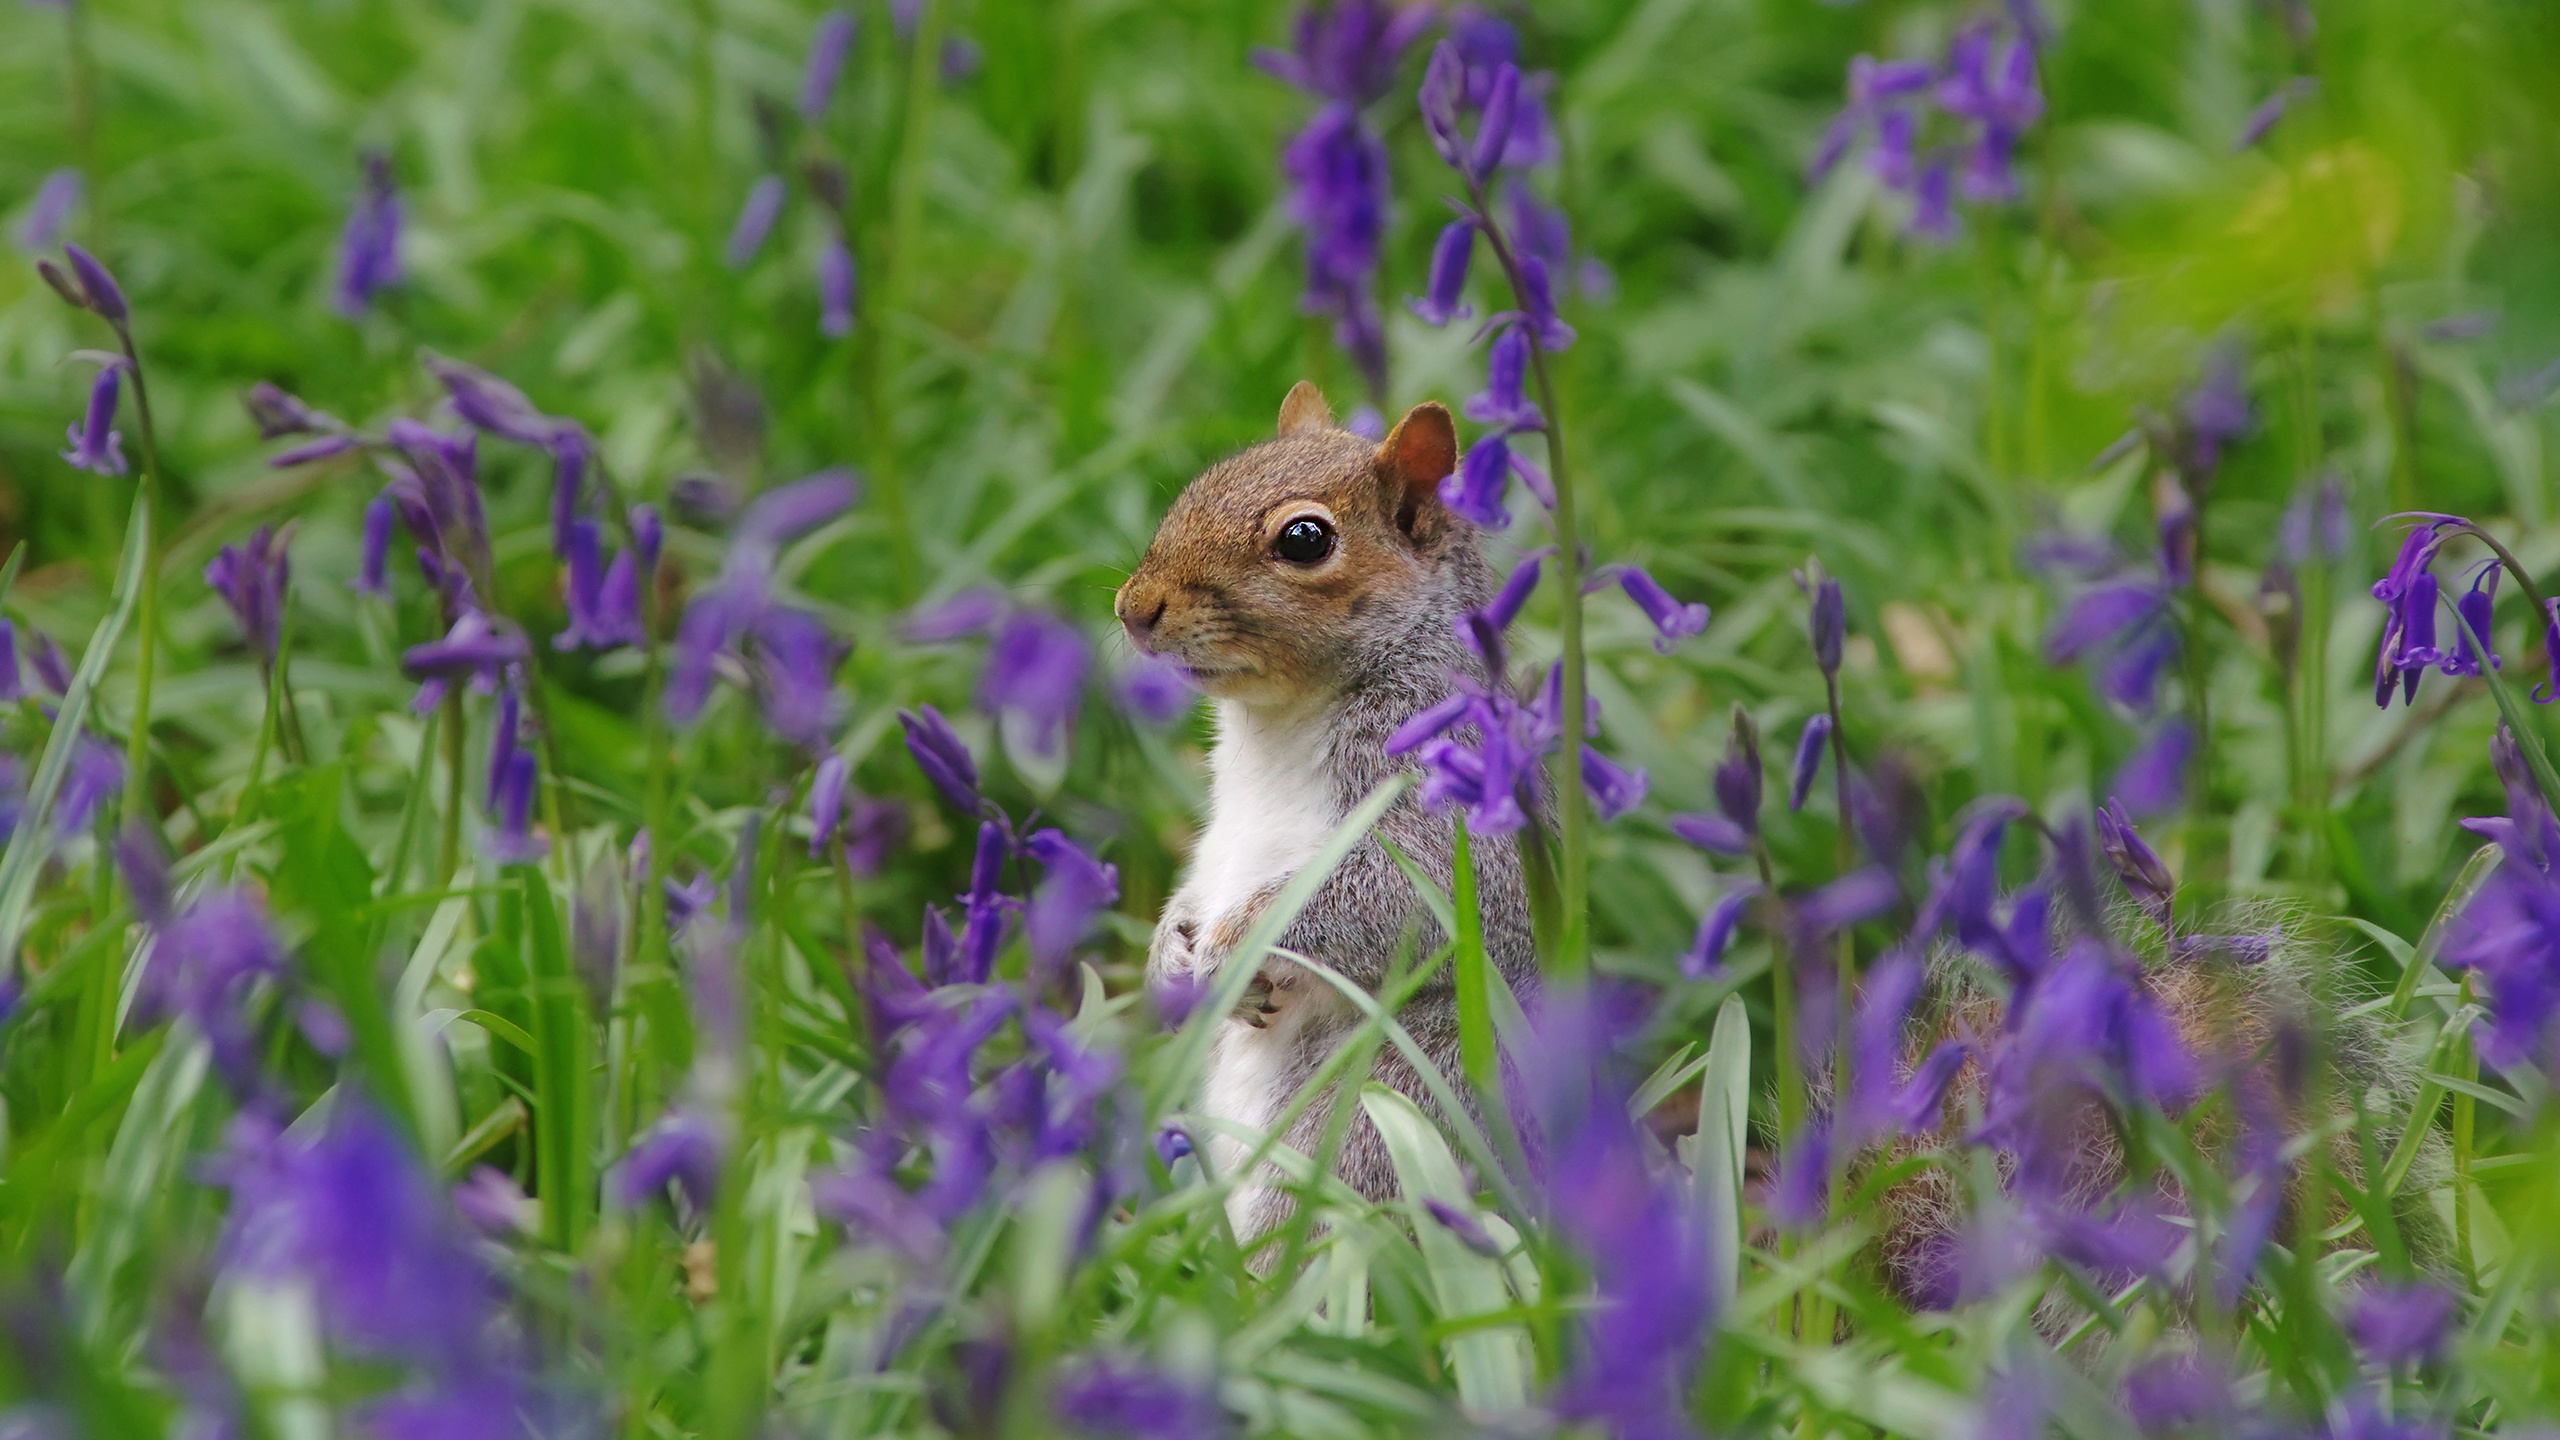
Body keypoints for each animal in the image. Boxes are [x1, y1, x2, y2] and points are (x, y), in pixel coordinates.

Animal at [1111, 379, 1525, 1235]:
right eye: (1197, 487)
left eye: (1305, 540)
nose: (1133, 609)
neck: (1276, 719)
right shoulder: (1220, 832)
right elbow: (1199, 880)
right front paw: (1171, 949)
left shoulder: (1453, 797)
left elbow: (1397, 897)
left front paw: (1234, 946)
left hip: (1381, 1114)